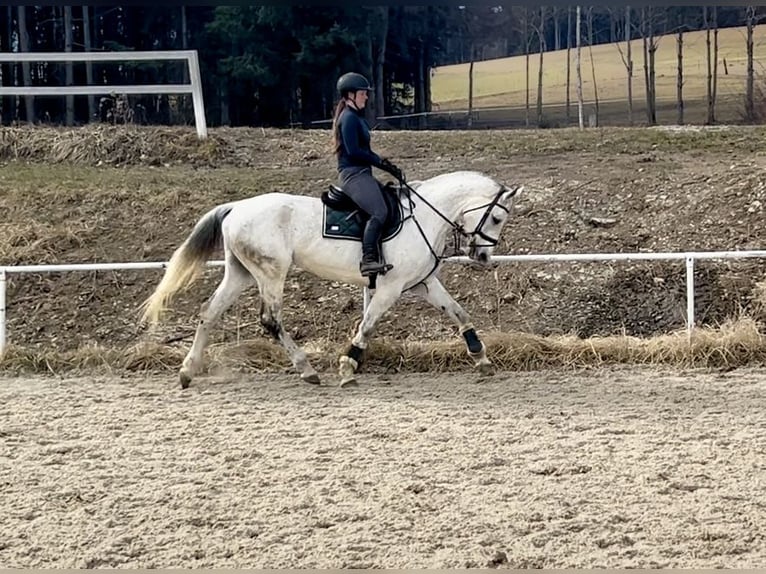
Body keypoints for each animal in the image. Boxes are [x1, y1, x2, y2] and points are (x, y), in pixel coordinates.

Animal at [140, 169, 520, 390]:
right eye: (497, 217)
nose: (483, 257)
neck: (425, 216)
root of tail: (236, 207)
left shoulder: (422, 284)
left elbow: (459, 313)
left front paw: (481, 358)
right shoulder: (390, 287)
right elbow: (368, 324)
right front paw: (348, 365)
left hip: (241, 273)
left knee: (209, 313)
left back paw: (188, 371)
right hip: (271, 273)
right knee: (271, 320)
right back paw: (307, 369)